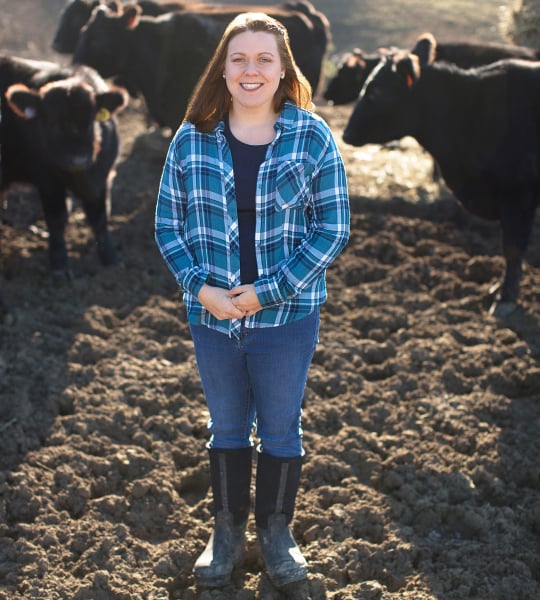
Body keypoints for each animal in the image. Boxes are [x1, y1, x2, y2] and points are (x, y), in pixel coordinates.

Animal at [0, 54, 129, 278]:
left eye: (90, 122)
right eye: (52, 123)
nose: (77, 160)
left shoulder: (102, 177)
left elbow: (100, 217)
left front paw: (111, 260)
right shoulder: (47, 181)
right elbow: (57, 219)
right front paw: (60, 266)